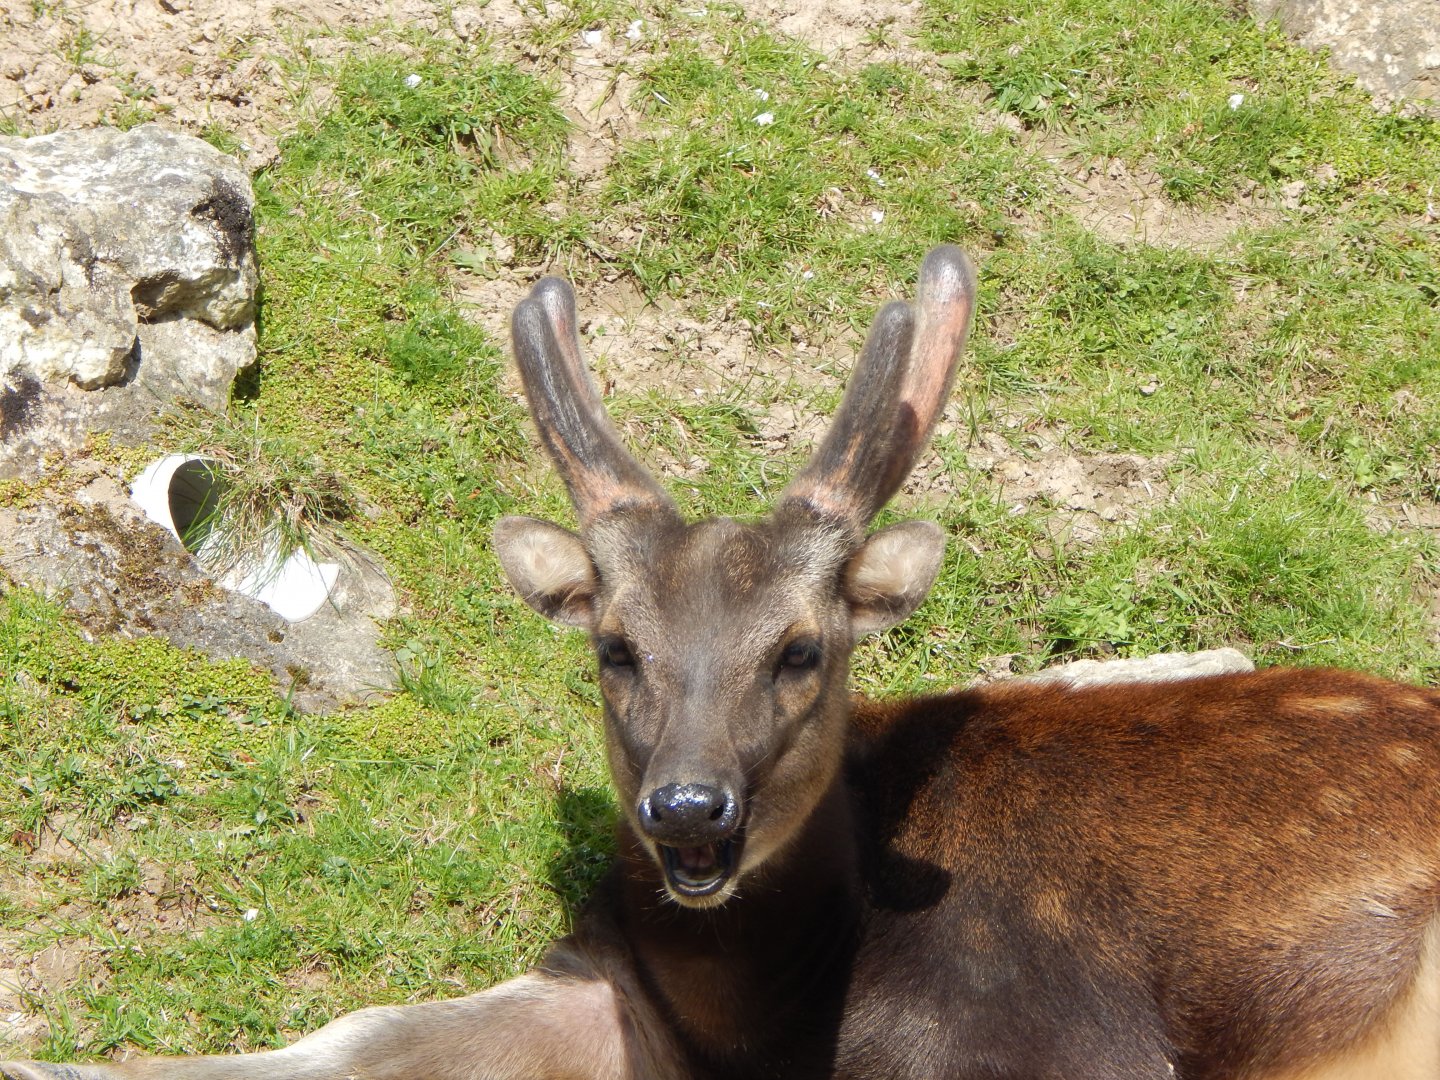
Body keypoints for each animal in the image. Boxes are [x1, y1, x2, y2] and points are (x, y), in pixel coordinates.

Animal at [4, 244, 1440, 1080]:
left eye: (803, 646)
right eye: (615, 644)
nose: (688, 813)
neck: (772, 1030)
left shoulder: (1048, 1036)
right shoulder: (605, 981)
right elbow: (361, 1034)